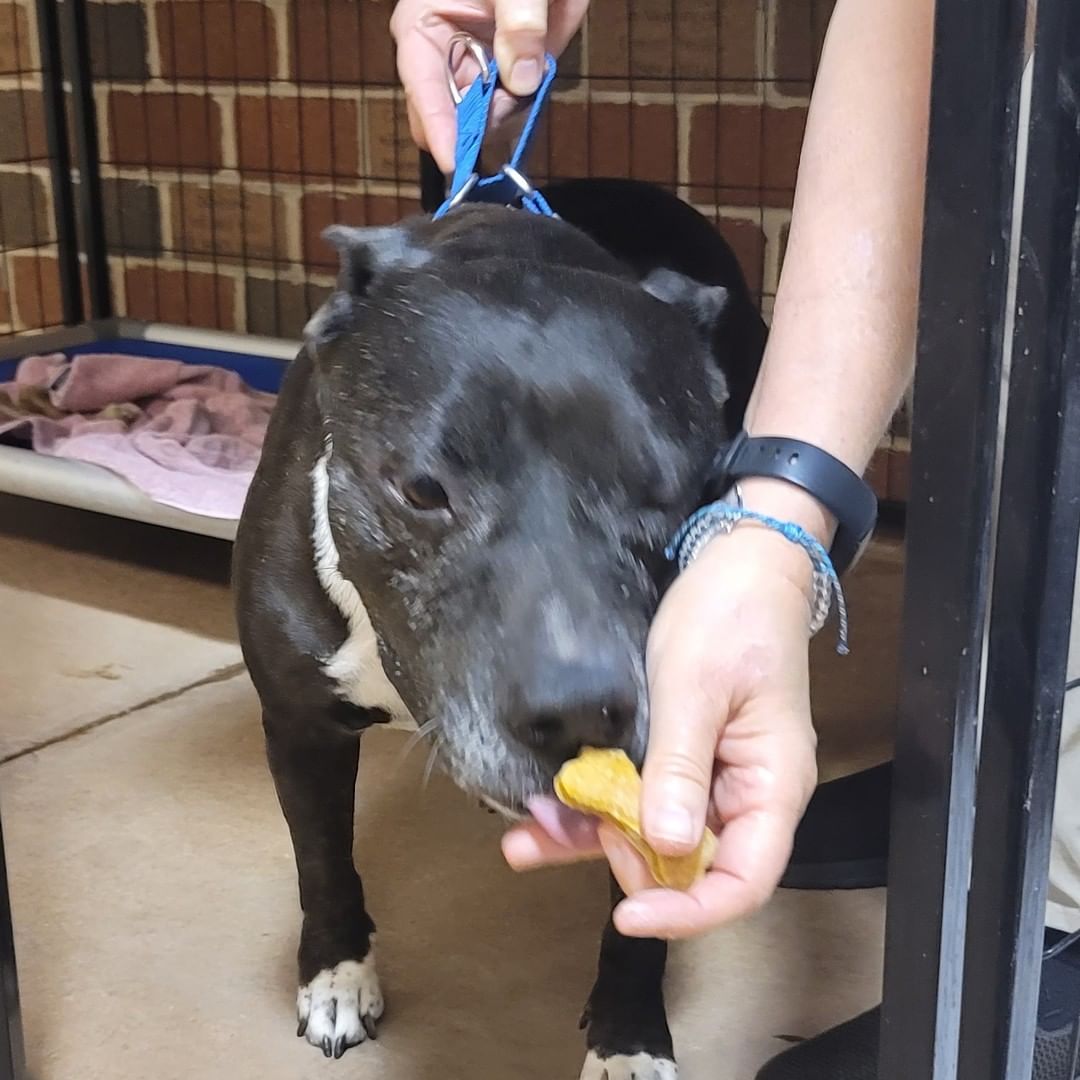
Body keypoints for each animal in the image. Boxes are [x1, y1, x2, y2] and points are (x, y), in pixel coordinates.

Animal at [233, 179, 764, 1080]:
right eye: (421, 489)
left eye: (674, 493)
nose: (580, 710)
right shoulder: (299, 722)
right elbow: (323, 860)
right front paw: (337, 974)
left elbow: (640, 913)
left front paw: (628, 1038)